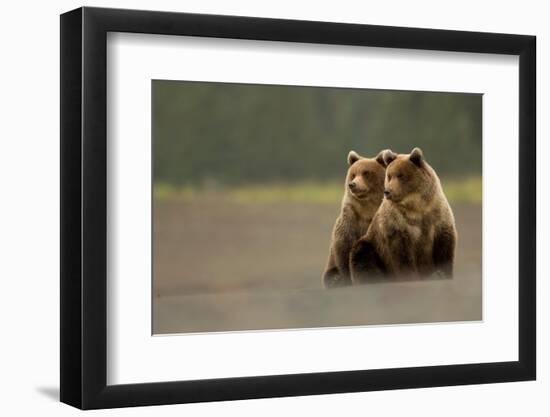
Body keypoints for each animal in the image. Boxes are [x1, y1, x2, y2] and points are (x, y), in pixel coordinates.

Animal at [324, 148, 388, 288]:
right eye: (353, 174)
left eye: (366, 173)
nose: (352, 184)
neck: (367, 209)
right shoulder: (350, 219)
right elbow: (344, 248)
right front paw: (346, 279)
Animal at [350, 147, 462, 282]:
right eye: (389, 176)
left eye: (400, 175)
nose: (387, 191)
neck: (416, 206)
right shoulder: (397, 223)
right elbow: (401, 253)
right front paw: (410, 276)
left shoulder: (437, 213)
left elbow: (444, 245)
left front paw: (442, 273)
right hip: (373, 247)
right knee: (361, 254)